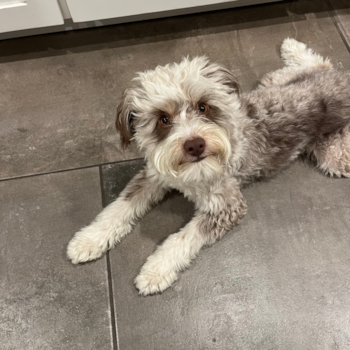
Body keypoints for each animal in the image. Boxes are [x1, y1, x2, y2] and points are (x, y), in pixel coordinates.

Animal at [66, 39, 350, 296]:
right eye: (163, 119)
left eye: (203, 106)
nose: (195, 144)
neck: (186, 174)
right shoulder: (154, 176)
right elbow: (119, 207)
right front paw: (89, 239)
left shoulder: (225, 204)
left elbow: (183, 237)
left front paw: (155, 270)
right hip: (275, 80)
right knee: (318, 63)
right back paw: (291, 46)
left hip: (335, 157)